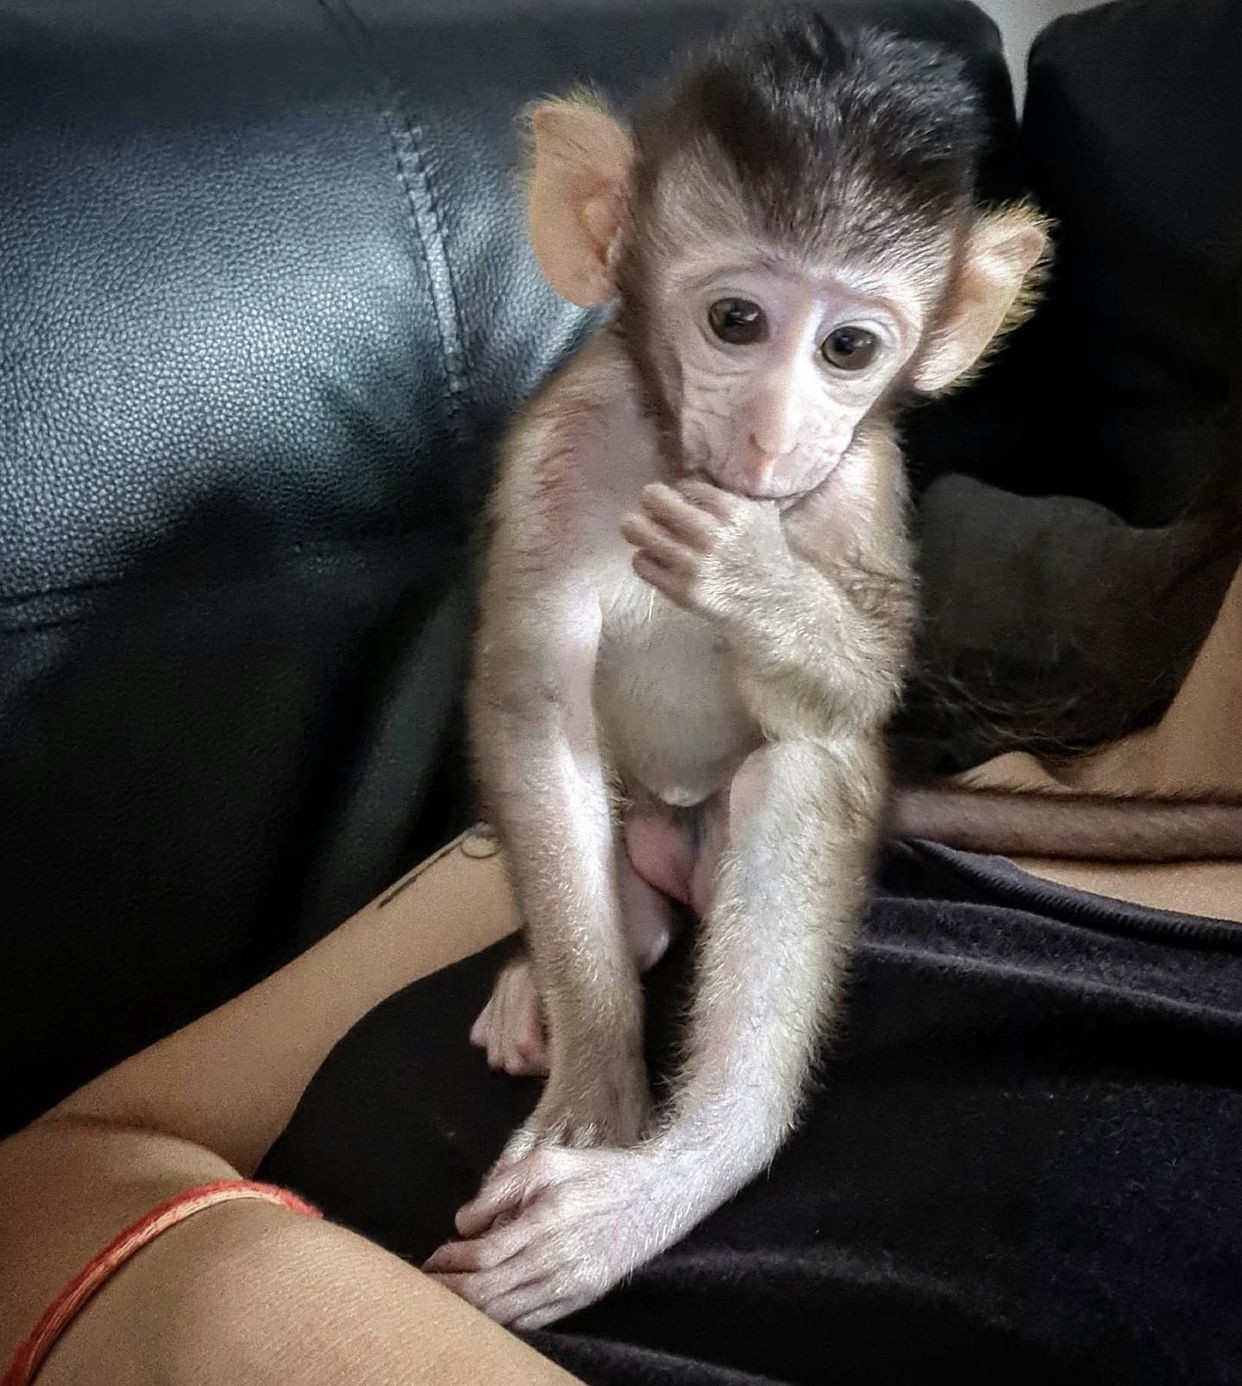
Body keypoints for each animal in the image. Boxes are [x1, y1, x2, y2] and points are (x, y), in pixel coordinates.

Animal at [423, 10, 1238, 1331]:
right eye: (737, 323)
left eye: (850, 347)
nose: (770, 435)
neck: (680, 463)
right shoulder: (561, 446)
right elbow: (533, 705)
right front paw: (597, 1085)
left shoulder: (859, 476)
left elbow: (851, 700)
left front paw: (752, 579)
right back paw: (568, 965)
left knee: (798, 772)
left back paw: (698, 1157)